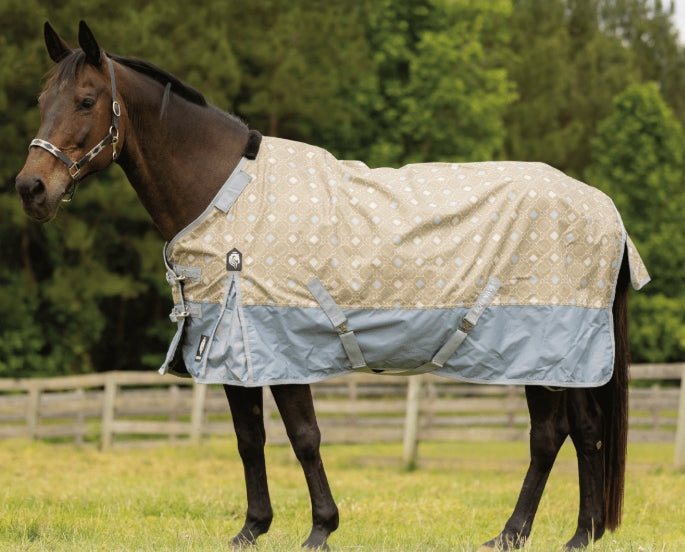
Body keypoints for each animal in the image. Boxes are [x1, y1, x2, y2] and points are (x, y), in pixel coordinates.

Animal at [16, 21, 648, 551]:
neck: (228, 195)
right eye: (42, 102)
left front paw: (320, 529)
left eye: (87, 101)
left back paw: (517, 535)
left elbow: (304, 436)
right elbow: (249, 439)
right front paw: (251, 530)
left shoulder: (282, 344)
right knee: (584, 432)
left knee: (551, 436)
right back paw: (578, 535)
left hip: (543, 352)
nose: (31, 188)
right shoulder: (236, 347)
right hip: (564, 358)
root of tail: (606, 211)